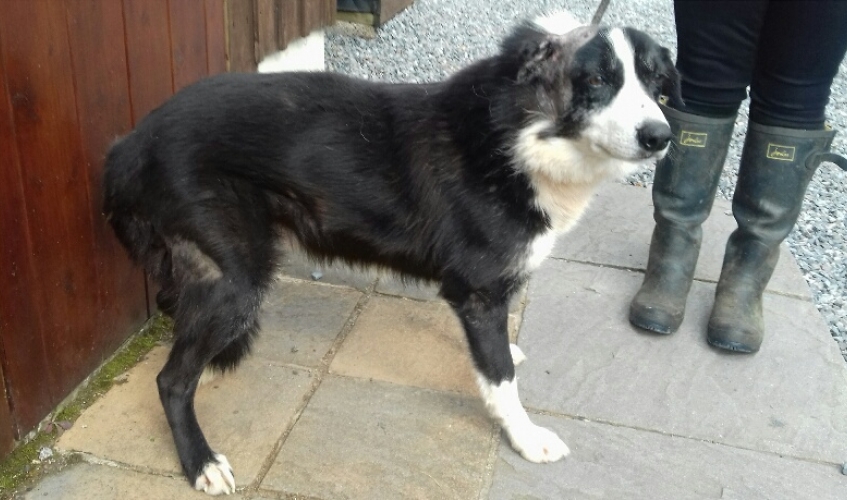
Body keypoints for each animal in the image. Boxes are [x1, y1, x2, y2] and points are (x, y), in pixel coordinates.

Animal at [102, 11, 680, 496]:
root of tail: (132, 141)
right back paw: (200, 461)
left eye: (656, 83)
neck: (520, 134)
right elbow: (500, 383)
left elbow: (497, 357)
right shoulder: (478, 294)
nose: (661, 136)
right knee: (171, 380)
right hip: (236, 281)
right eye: (598, 80)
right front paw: (527, 437)